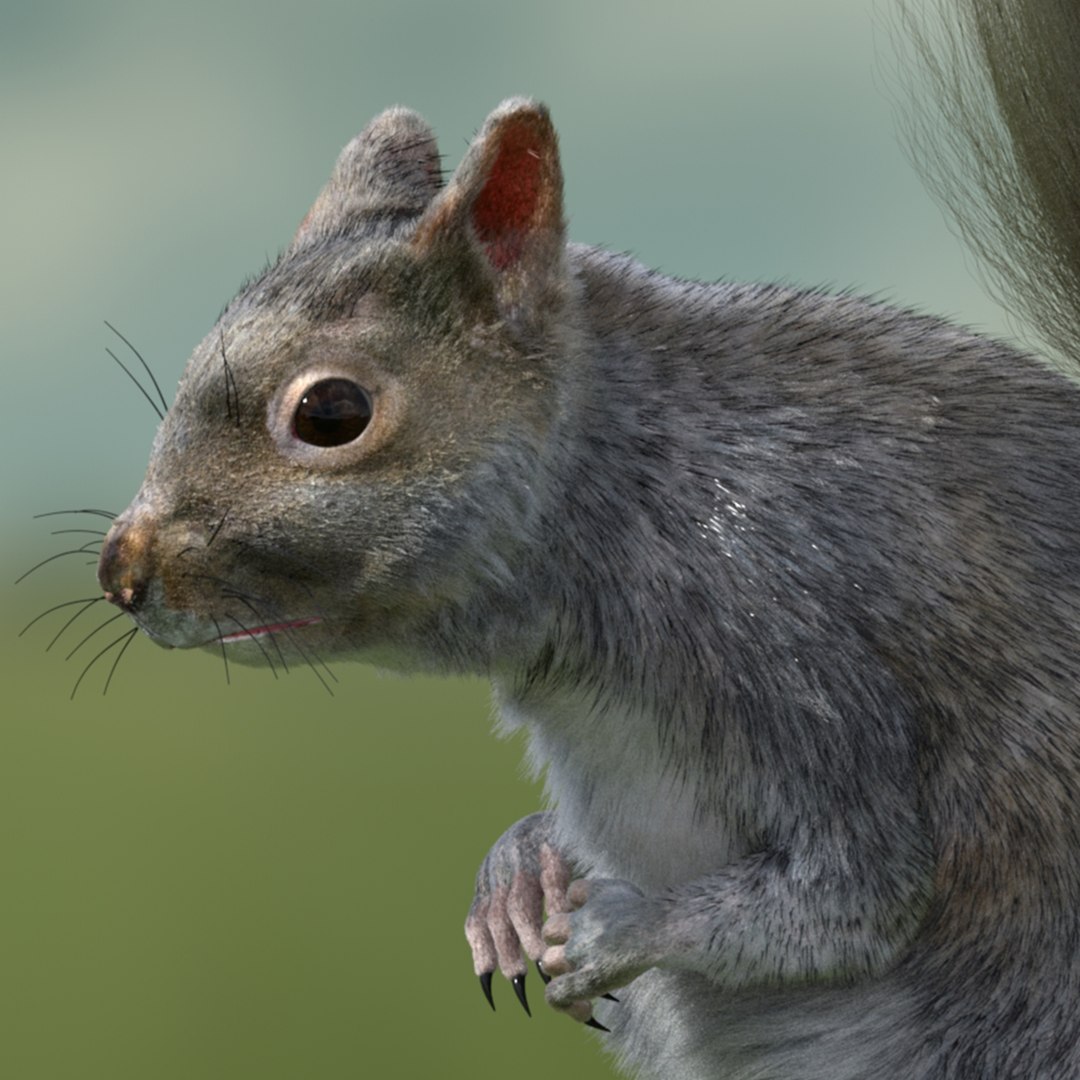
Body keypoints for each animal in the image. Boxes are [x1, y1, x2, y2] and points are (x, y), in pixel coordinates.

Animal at [92, 0, 1080, 1076]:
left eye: (331, 414)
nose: (121, 571)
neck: (633, 486)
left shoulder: (795, 641)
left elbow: (856, 890)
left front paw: (619, 926)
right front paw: (517, 874)